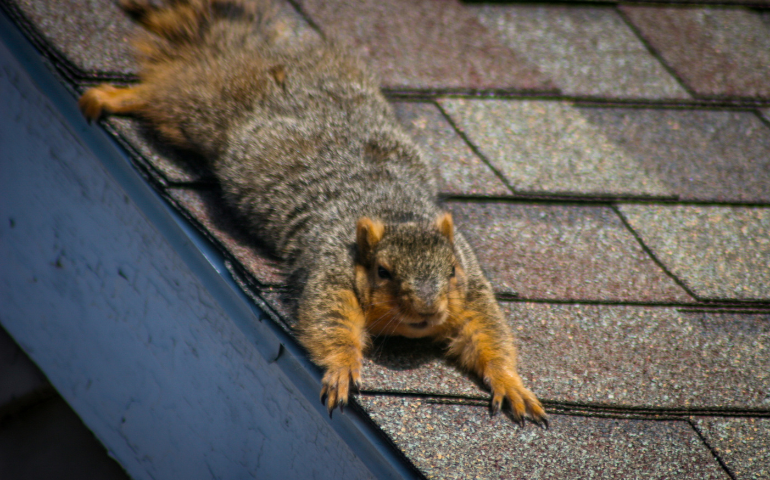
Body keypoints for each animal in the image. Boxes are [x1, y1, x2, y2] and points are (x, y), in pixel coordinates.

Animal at [79, 0, 547, 426]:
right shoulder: (330, 267)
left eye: (451, 271)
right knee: (168, 91)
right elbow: (329, 319)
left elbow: (489, 333)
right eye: (383, 272)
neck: (394, 209)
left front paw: (511, 383)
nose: (428, 310)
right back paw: (113, 96)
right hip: (204, 108)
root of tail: (263, 57)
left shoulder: (472, 289)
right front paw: (341, 369)